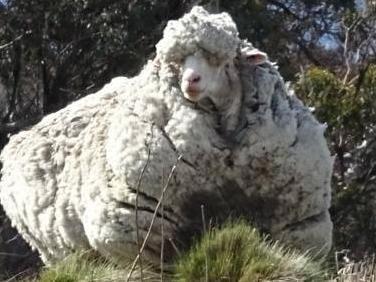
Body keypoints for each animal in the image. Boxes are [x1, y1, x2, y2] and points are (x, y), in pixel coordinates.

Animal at [0, 5, 332, 266]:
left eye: (221, 60)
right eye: (177, 62)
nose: (191, 81)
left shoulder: (297, 226)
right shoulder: (143, 231)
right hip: (59, 251)